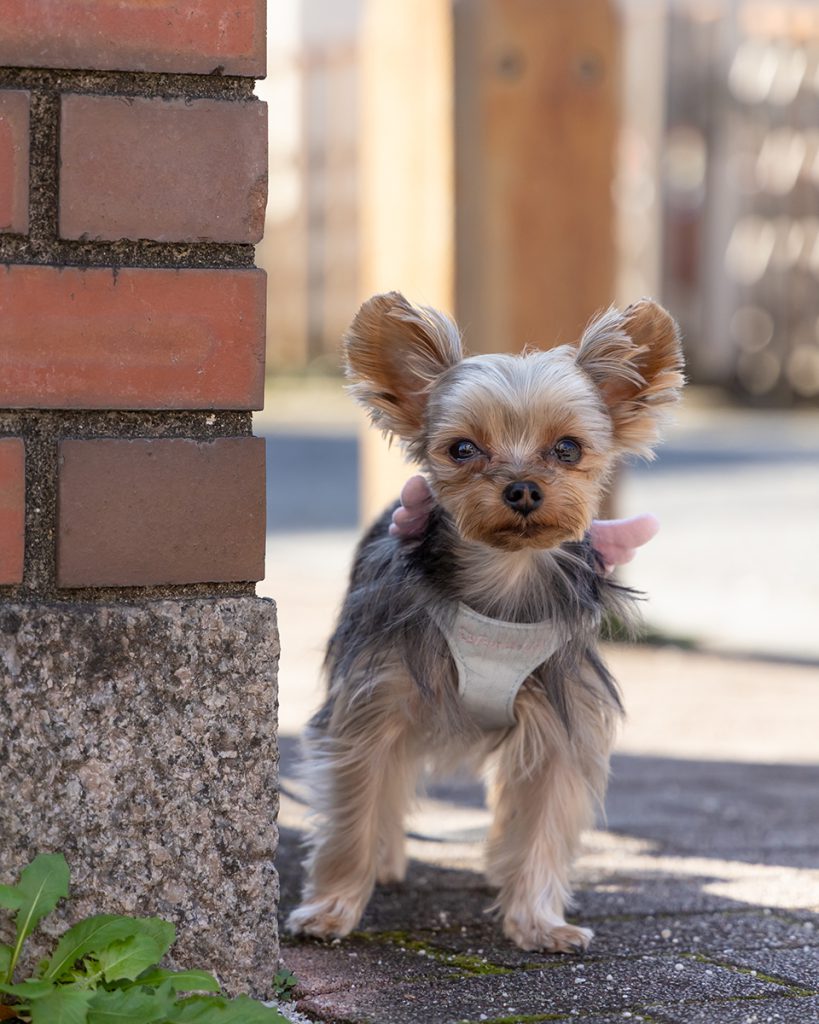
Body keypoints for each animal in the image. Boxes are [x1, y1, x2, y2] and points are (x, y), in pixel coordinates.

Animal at [288, 292, 683, 954]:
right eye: (462, 450)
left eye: (568, 448)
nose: (522, 489)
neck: (503, 582)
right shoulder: (371, 705)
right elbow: (354, 808)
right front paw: (331, 909)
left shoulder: (560, 721)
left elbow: (544, 821)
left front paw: (538, 922)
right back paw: (386, 861)